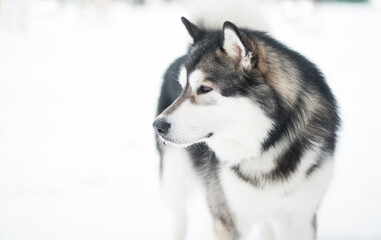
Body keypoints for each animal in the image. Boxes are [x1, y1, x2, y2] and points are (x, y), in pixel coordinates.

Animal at [153, 16, 340, 240]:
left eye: (204, 88)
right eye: (182, 88)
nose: (158, 125)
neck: (267, 144)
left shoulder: (300, 219)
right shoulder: (227, 218)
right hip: (174, 179)